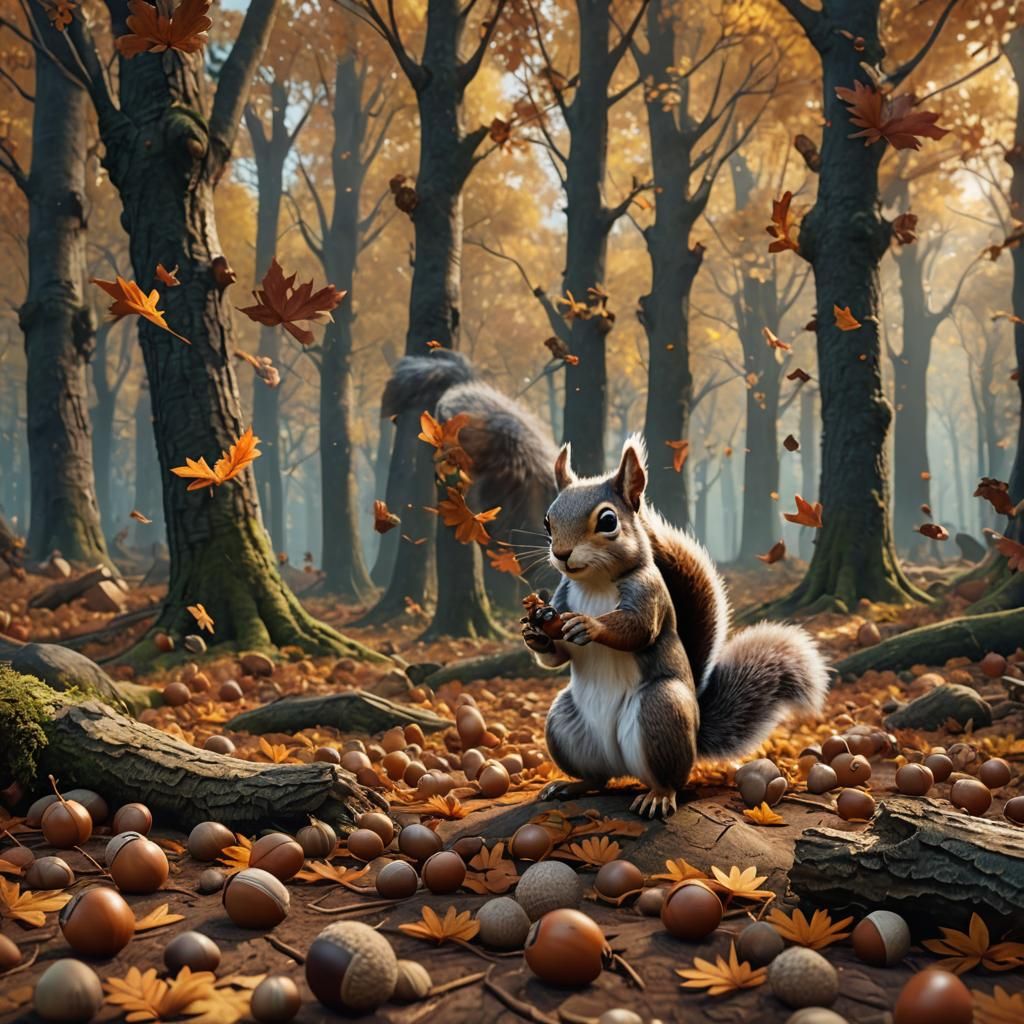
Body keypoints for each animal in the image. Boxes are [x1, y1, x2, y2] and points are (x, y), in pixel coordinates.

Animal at [521, 434, 828, 817]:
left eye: (608, 521)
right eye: (547, 522)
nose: (562, 554)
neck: (595, 583)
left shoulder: (649, 592)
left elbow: (638, 629)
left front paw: (590, 625)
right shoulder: (562, 599)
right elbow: (558, 655)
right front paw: (534, 635)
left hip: (661, 710)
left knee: (668, 779)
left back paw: (658, 796)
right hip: (564, 724)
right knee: (598, 779)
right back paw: (570, 785)